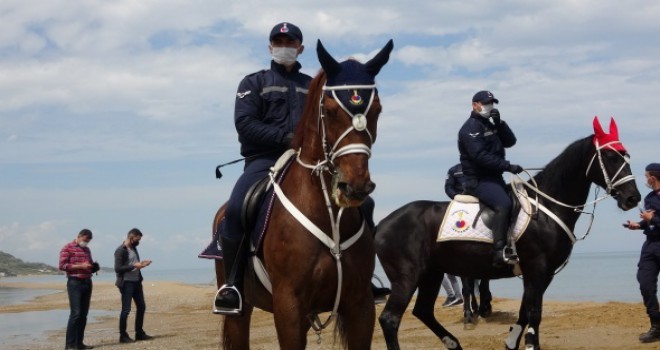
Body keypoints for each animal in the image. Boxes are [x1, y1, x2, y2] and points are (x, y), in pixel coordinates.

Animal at [376, 118, 640, 350]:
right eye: (610, 156)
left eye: (626, 156)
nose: (632, 197)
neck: (546, 205)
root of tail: (382, 224)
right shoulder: (537, 268)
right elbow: (534, 312)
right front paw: (531, 344)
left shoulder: (544, 273)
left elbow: (525, 310)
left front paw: (512, 342)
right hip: (407, 277)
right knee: (390, 319)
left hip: (431, 273)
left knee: (422, 311)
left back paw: (453, 343)